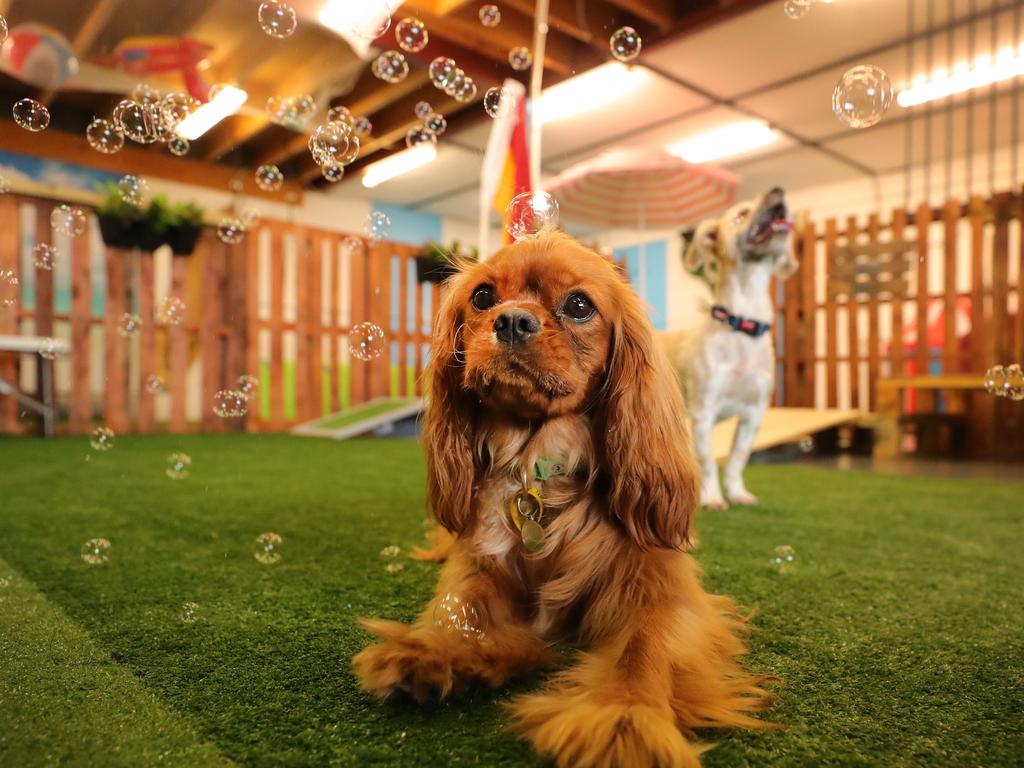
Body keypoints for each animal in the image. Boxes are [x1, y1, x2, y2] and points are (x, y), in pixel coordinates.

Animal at [356, 231, 770, 765]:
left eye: (578, 305)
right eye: (483, 296)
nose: (512, 320)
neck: (539, 466)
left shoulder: (660, 587)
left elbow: (643, 647)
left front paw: (622, 715)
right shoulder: (480, 564)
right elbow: (465, 607)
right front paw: (434, 650)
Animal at [663, 188, 798, 512]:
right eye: (741, 214)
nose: (778, 190)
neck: (743, 328)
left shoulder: (753, 414)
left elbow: (737, 460)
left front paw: (737, 494)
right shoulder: (703, 412)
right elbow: (709, 462)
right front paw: (712, 498)